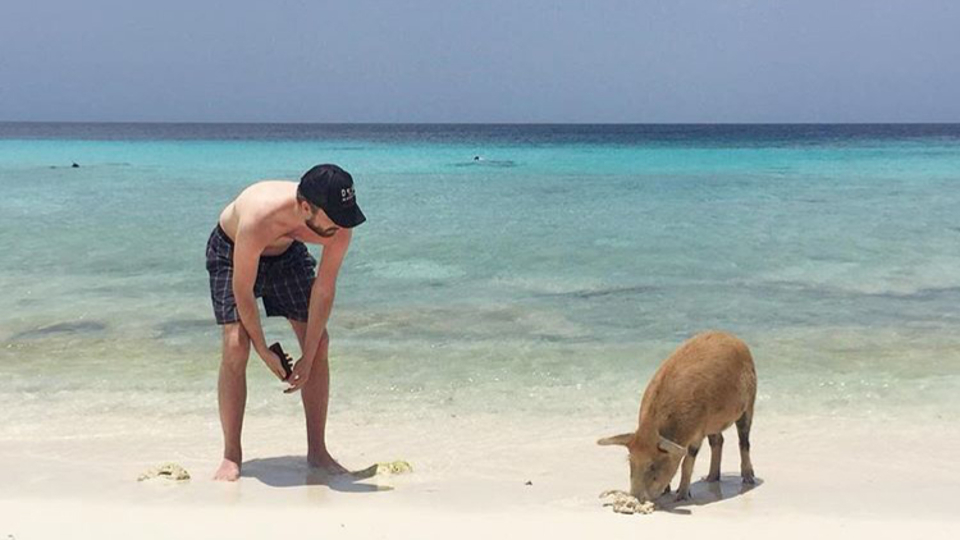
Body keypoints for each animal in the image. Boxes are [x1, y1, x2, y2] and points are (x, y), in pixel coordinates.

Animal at [592, 332, 756, 504]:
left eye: (652, 465)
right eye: (631, 462)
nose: (635, 497)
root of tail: (734, 338)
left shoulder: (697, 432)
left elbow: (687, 462)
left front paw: (681, 497)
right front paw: (667, 492)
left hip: (749, 405)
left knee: (744, 441)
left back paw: (748, 479)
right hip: (713, 423)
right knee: (718, 441)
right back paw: (709, 479)